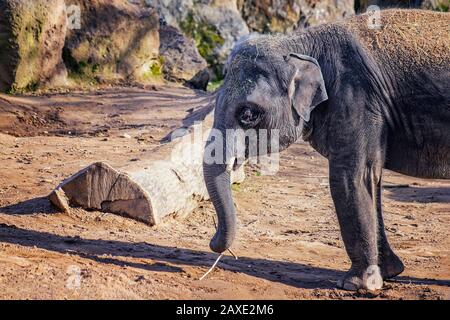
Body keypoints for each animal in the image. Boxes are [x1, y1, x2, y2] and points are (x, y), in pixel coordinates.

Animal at [204, 8, 450, 292]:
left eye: (247, 114)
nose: (213, 241)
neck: (299, 44)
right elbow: (372, 177)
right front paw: (387, 274)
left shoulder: (356, 97)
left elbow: (350, 177)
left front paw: (355, 285)